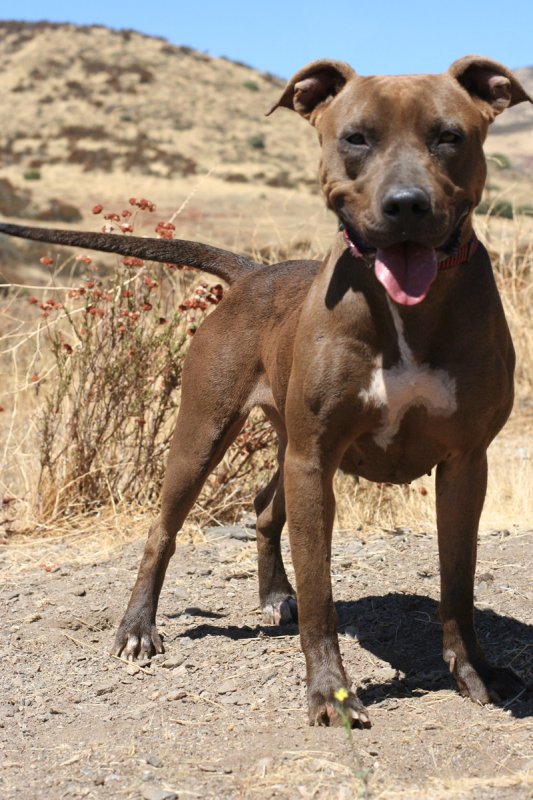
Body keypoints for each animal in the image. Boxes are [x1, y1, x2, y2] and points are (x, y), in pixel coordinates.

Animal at [2, 54, 528, 732]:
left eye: (449, 136)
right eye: (356, 138)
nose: (406, 205)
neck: (409, 312)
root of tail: (252, 271)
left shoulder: (465, 462)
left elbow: (458, 584)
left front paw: (475, 673)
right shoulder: (315, 458)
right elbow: (323, 595)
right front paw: (330, 692)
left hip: (286, 445)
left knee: (263, 506)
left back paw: (275, 594)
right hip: (204, 434)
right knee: (164, 530)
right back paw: (138, 628)